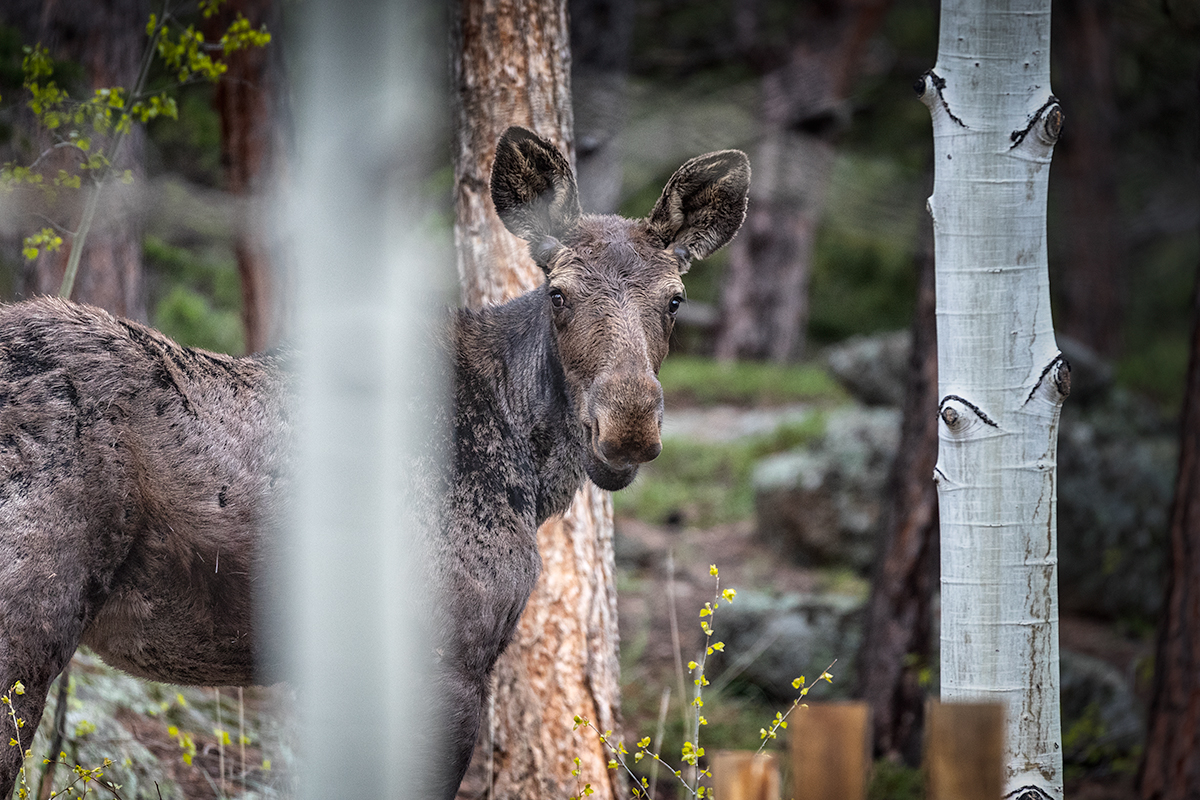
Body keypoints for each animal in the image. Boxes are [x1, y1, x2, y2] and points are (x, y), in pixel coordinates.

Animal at [0, 127, 750, 799]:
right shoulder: (450, 659)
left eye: (675, 299)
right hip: (30, 614)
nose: (629, 425)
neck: (530, 469)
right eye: (559, 294)